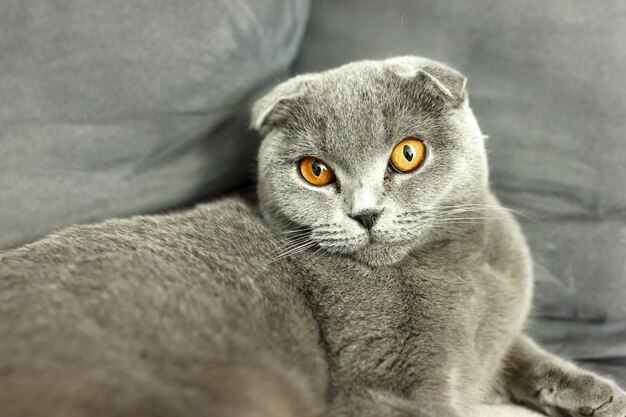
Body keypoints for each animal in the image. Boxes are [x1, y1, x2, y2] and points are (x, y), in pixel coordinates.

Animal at [1, 57, 624, 416]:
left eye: (408, 153)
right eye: (316, 171)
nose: (365, 214)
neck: (458, 262)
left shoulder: (491, 344)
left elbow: (523, 351)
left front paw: (600, 393)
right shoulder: (388, 383)